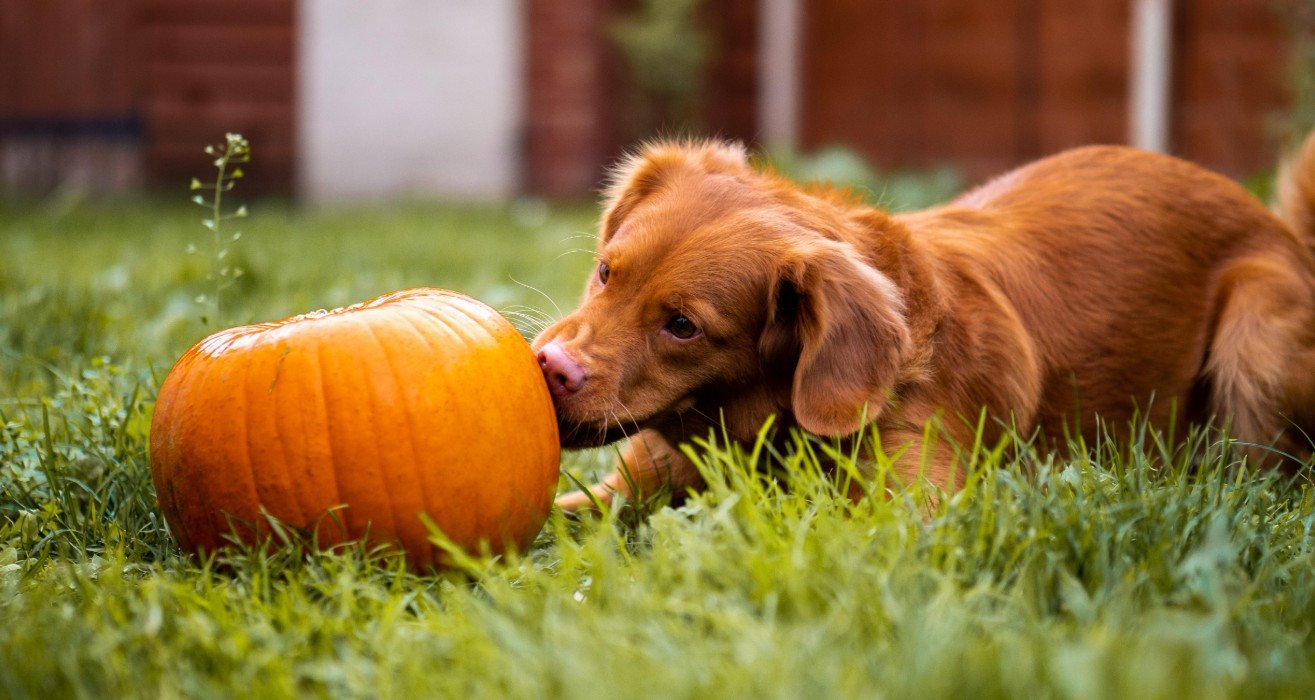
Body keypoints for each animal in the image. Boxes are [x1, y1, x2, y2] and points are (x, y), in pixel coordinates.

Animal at [531, 135, 1315, 507]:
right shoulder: (623, 489)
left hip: (1256, 334)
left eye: (683, 326)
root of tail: (1280, 229)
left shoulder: (910, 514)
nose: (551, 368)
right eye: (606, 272)